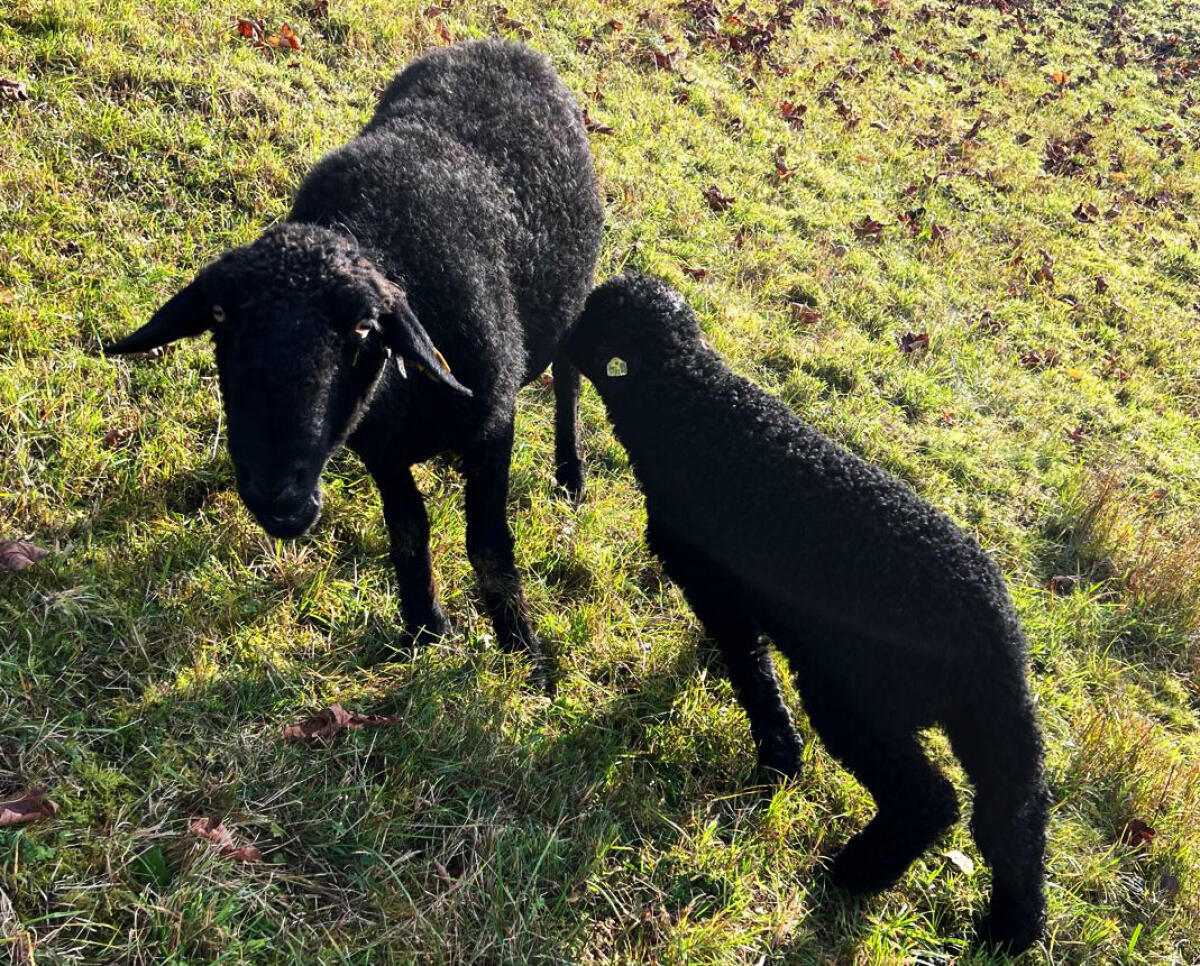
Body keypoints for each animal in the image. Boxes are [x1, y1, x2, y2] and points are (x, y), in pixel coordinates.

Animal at [104, 40, 603, 684]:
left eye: (364, 329)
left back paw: (571, 473)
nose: (278, 499)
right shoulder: (380, 449)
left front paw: (523, 653)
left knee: (567, 374)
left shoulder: (492, 425)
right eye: (217, 317)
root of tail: (497, 44)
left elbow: (488, 543)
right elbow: (408, 530)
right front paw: (423, 627)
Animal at [566, 274, 1048, 954]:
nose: (552, 339)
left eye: (589, 317)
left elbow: (752, 671)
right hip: (991, 730)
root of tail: (996, 646)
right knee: (1015, 815)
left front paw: (778, 759)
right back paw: (1010, 930)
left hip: (855, 696)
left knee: (929, 800)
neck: (691, 404)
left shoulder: (714, 584)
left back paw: (850, 876)